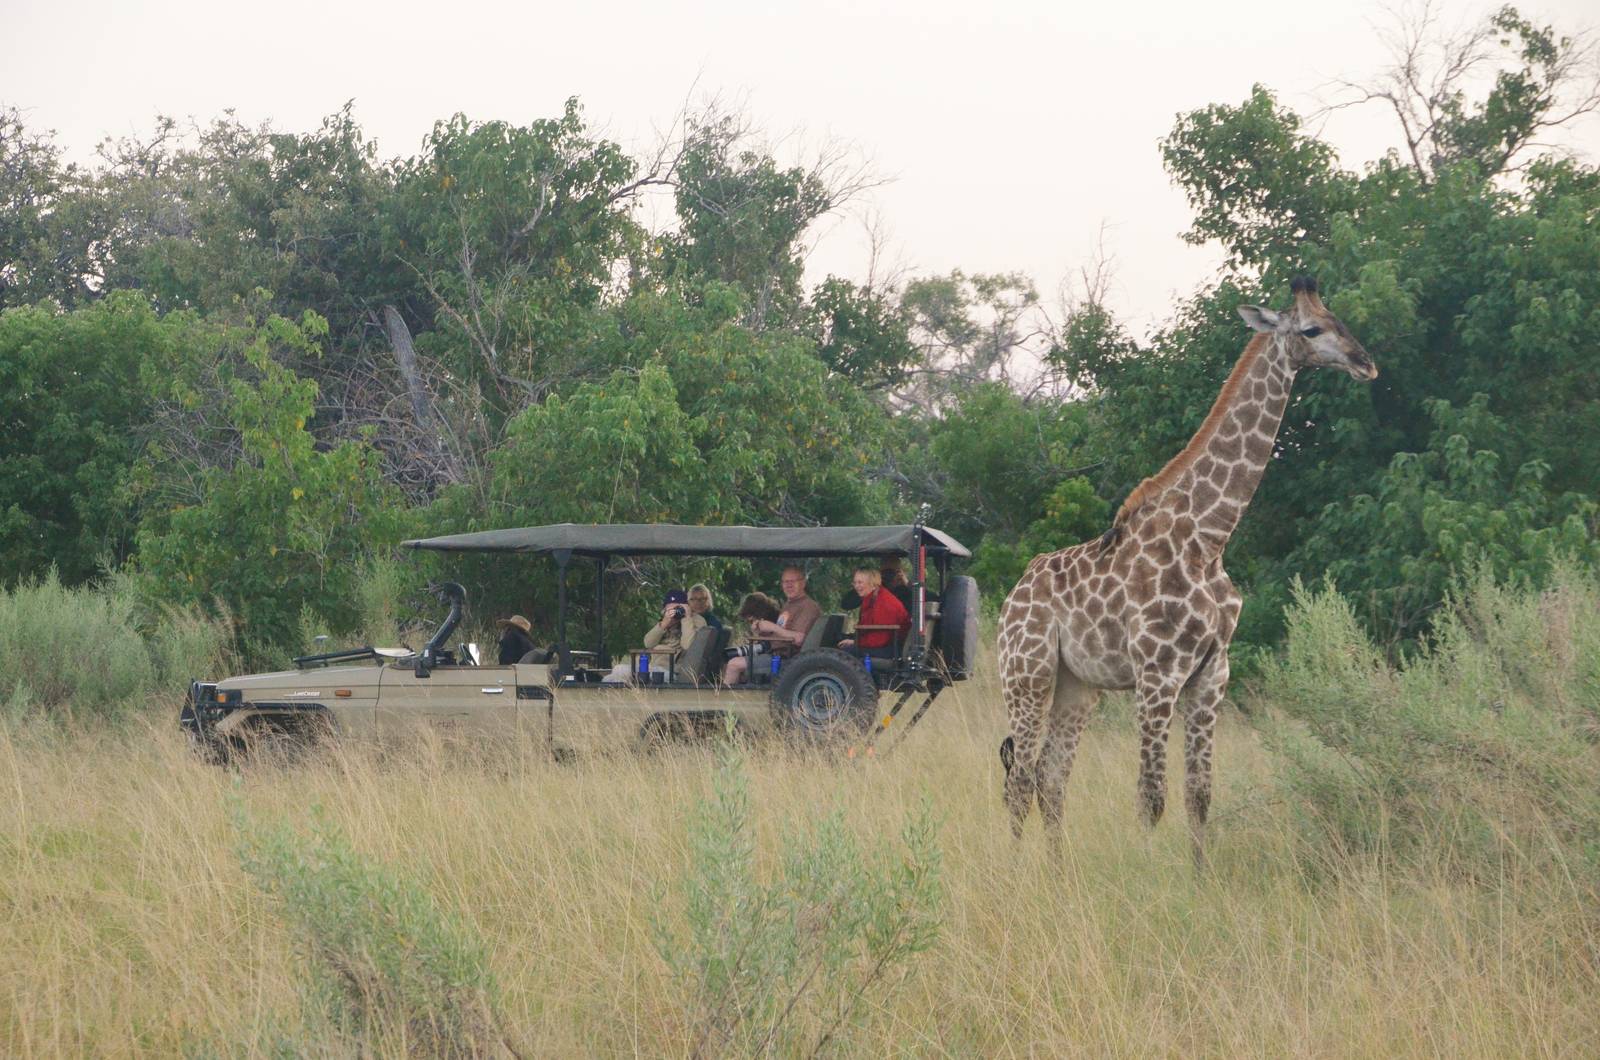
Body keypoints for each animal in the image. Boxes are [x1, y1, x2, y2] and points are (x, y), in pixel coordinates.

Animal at [996, 276, 1377, 864]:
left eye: (1339, 319)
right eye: (1312, 329)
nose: (1366, 363)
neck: (1209, 537)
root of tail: (1010, 600)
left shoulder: (1211, 675)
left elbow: (1199, 794)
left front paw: (1199, 877)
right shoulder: (1158, 673)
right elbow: (1151, 796)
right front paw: (1150, 877)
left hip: (1077, 685)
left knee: (1049, 777)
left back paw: (1058, 873)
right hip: (1026, 675)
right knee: (1019, 781)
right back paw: (1017, 874)